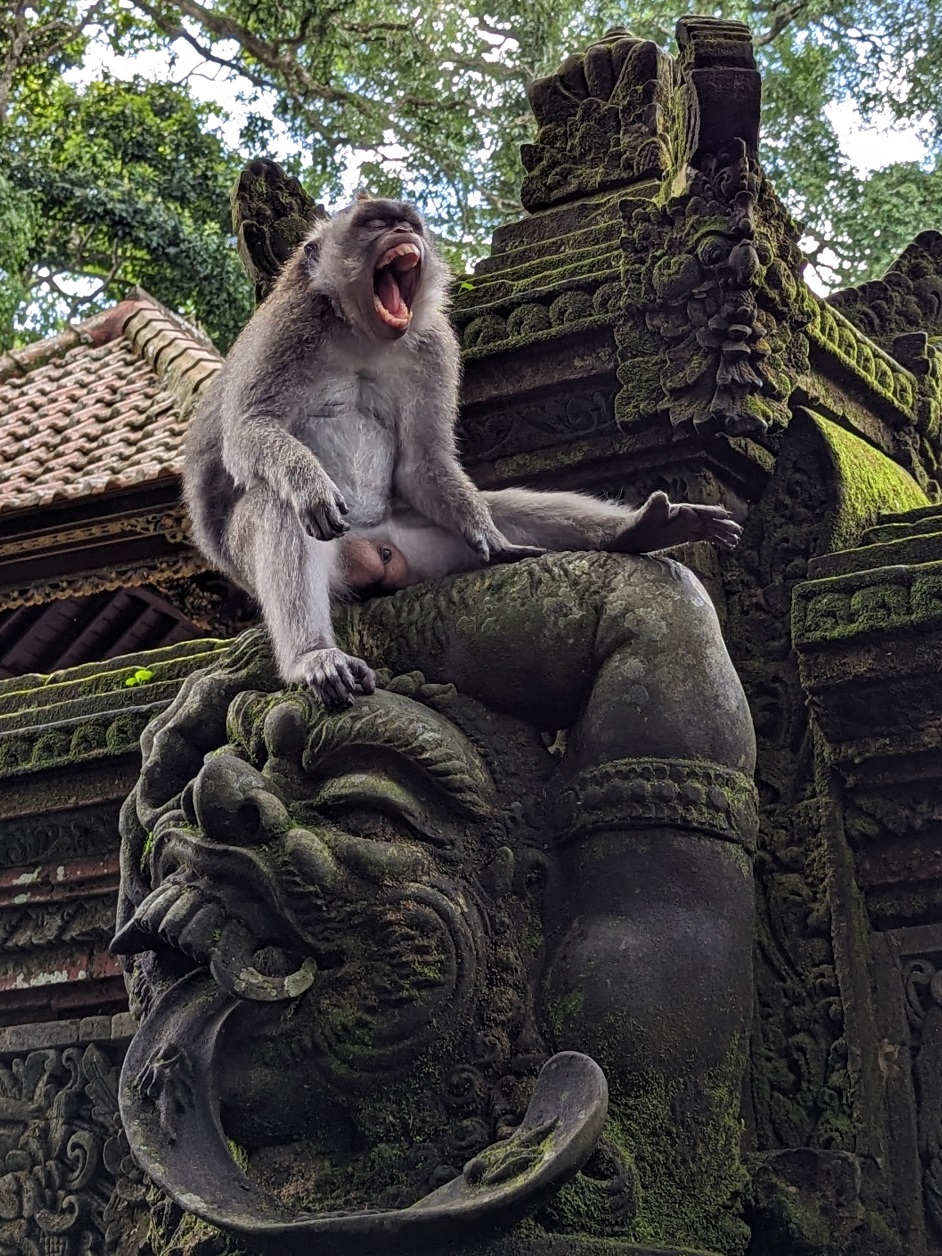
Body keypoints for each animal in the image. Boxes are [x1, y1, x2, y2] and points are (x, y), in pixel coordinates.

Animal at [184, 195, 542, 708]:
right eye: (375, 223)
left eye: (408, 224)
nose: (402, 232)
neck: (358, 333)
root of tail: (376, 551)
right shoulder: (289, 327)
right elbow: (251, 430)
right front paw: (311, 487)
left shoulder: (433, 345)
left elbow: (422, 461)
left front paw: (486, 532)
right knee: (277, 506)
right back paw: (313, 656)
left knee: (512, 507)